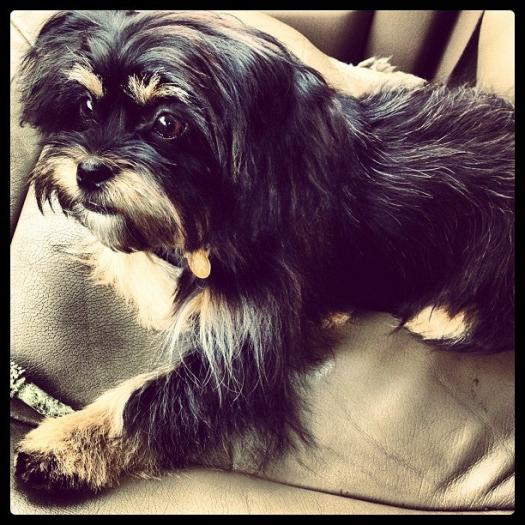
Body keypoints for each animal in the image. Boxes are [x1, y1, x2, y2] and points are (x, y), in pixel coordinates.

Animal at [14, 10, 514, 493]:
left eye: (167, 123)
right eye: (87, 105)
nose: (87, 171)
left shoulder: (244, 352)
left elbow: (146, 399)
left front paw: (64, 448)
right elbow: (131, 257)